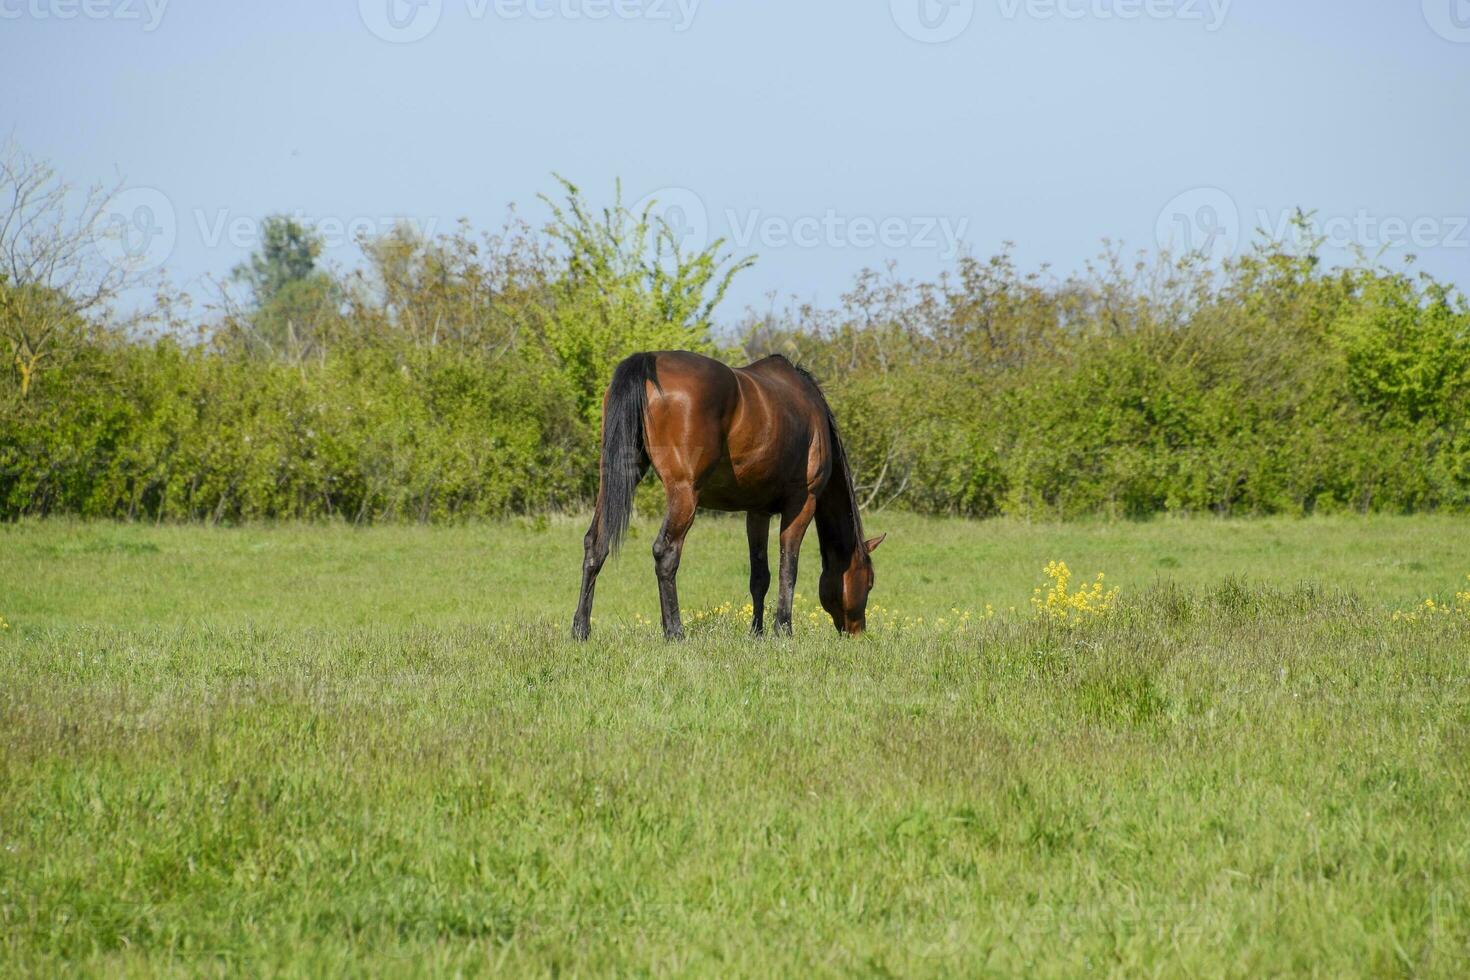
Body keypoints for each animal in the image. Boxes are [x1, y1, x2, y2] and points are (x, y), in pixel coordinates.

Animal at [573, 348, 882, 640]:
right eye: (869, 581)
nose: (858, 632)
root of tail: (649, 360)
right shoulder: (802, 503)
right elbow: (788, 568)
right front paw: (783, 629)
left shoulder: (757, 511)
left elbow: (760, 575)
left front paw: (757, 632)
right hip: (683, 493)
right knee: (666, 553)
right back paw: (675, 632)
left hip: (616, 478)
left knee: (595, 544)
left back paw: (580, 629)